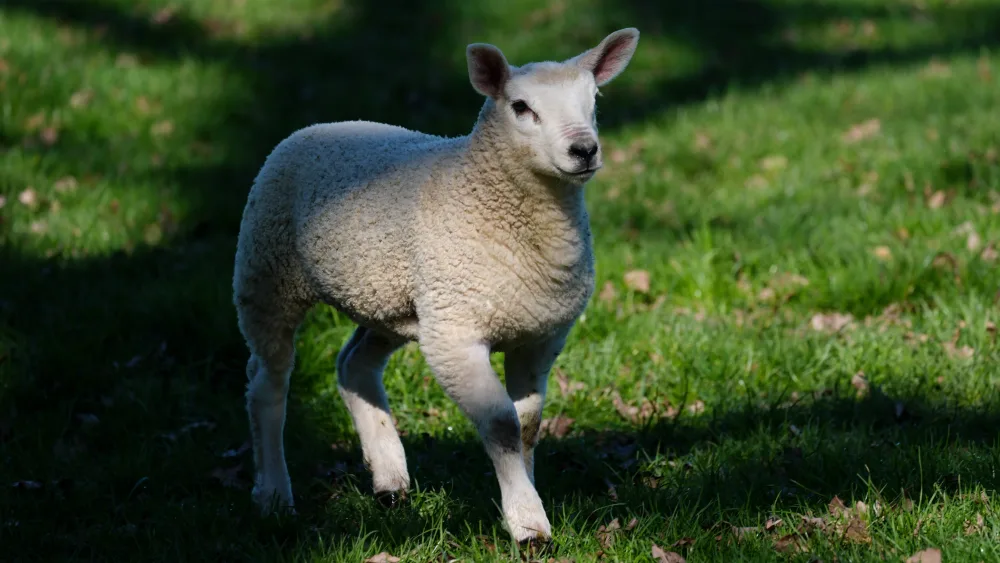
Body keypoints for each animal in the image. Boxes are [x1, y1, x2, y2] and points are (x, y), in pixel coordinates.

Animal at [232, 28, 640, 544]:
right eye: (521, 107)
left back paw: (389, 478)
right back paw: (273, 495)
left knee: (353, 366)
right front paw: (528, 523)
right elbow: (502, 423)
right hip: (265, 276)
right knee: (267, 385)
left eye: (594, 100)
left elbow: (528, 424)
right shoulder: (455, 335)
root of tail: (323, 124)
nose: (584, 150)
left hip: (391, 303)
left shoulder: (539, 334)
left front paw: (526, 497)